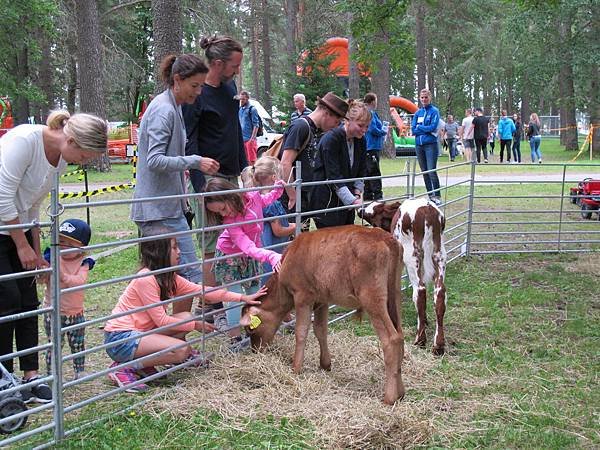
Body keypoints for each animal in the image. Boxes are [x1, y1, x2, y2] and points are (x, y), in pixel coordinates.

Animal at [241, 225, 406, 404]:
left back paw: (389, 397)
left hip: (372, 297)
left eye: (250, 329)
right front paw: (325, 364)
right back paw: (401, 392)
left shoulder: (302, 295)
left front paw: (296, 367)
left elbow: (301, 332)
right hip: (395, 294)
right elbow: (320, 330)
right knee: (400, 334)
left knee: (391, 339)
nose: (255, 350)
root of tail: (386, 238)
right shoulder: (322, 299)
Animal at [358, 197, 448, 356]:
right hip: (439, 255)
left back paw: (420, 339)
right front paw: (425, 320)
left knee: (420, 291)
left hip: (412, 255)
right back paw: (438, 345)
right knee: (439, 293)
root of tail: (427, 209)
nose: (359, 210)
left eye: (374, 210)